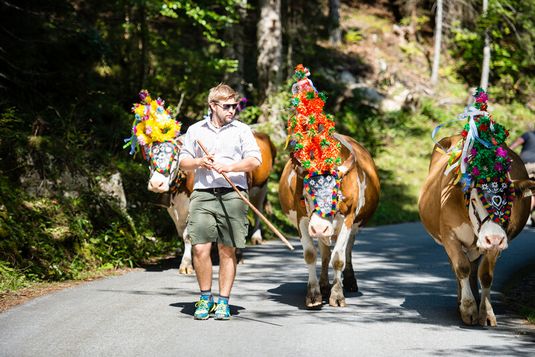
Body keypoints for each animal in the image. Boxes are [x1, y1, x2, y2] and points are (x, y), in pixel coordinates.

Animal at [148, 132, 276, 274]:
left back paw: (251, 242)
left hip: (261, 187)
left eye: (175, 159)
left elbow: (188, 235)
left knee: (256, 213)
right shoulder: (175, 210)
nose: (156, 184)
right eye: (150, 157)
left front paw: (186, 264)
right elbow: (186, 234)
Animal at [278, 133, 378, 306]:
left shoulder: (348, 218)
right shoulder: (302, 219)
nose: (319, 227)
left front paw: (337, 295)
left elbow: (338, 258)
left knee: (347, 249)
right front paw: (314, 293)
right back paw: (324, 285)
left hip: (354, 226)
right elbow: (311, 254)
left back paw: (350, 281)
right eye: (304, 197)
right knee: (325, 253)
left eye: (336, 195)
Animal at [418, 134, 535, 326]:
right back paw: (461, 301)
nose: (493, 238)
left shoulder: (496, 243)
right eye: (474, 200)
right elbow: (461, 267)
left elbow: (485, 274)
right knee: (460, 268)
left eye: (510, 200)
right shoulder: (449, 236)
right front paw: (468, 308)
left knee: (473, 268)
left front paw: (486, 312)